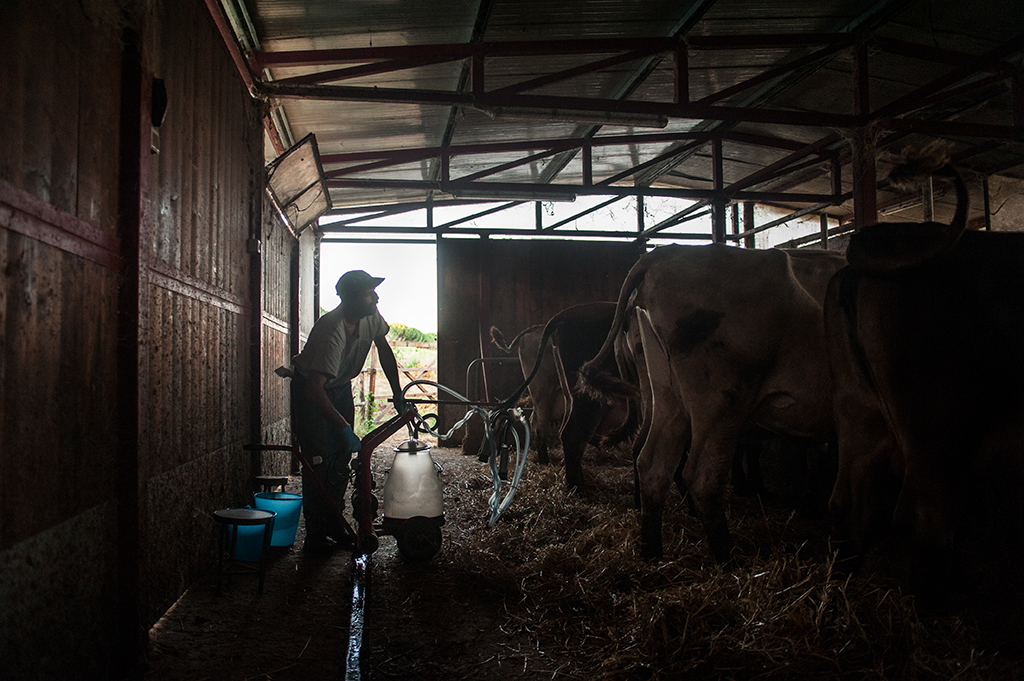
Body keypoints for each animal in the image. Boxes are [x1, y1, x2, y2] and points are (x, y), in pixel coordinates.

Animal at [577, 241, 847, 561]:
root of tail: (666, 252)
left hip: (669, 398)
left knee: (652, 462)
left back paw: (652, 552)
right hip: (721, 400)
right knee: (703, 476)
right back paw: (727, 557)